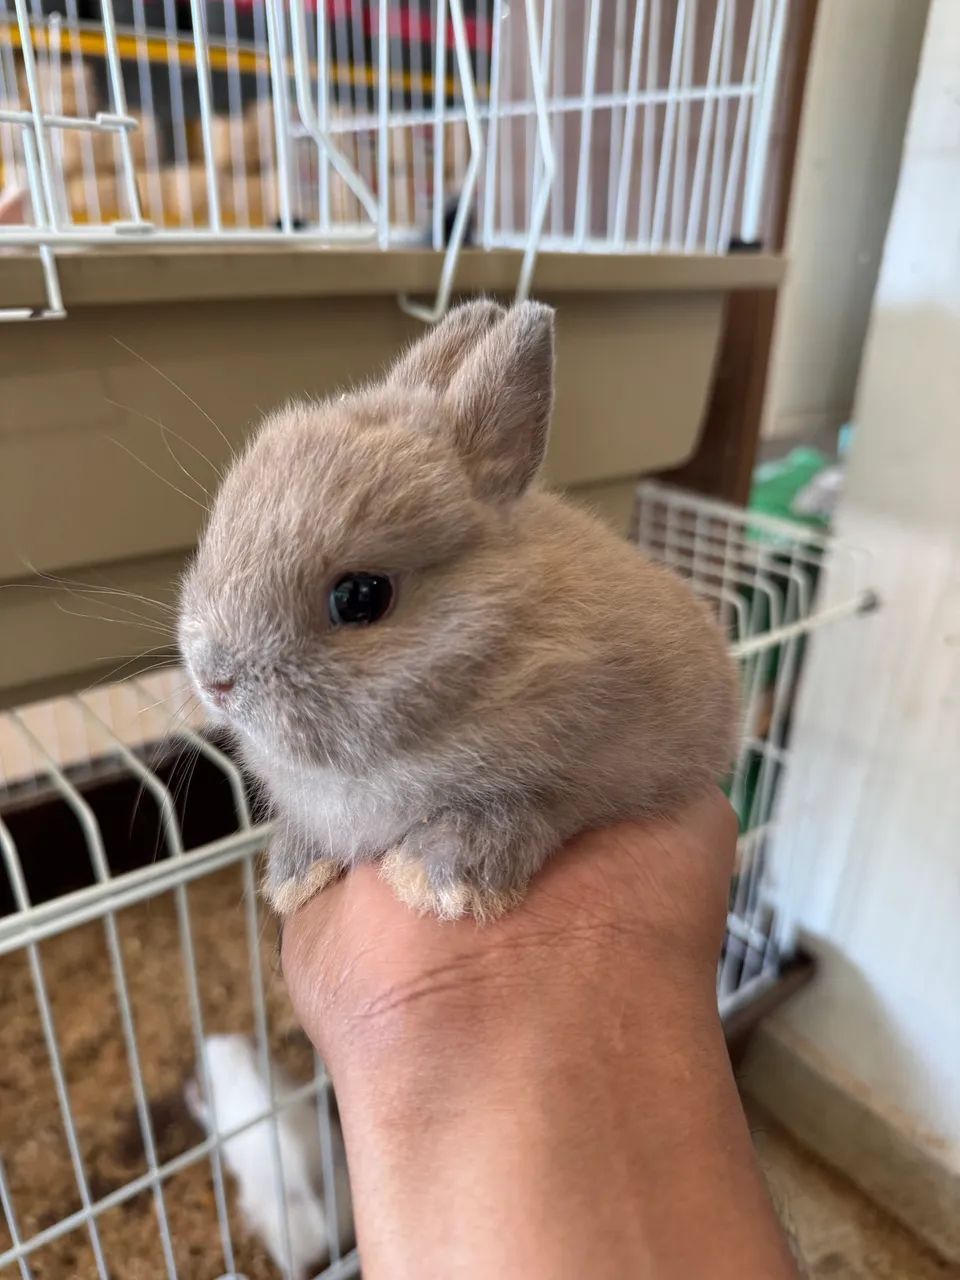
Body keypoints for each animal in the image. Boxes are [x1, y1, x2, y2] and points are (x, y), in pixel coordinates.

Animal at [179, 299, 738, 920]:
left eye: (360, 597)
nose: (213, 680)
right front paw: (294, 874)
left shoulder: (574, 773)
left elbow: (527, 808)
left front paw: (437, 879)